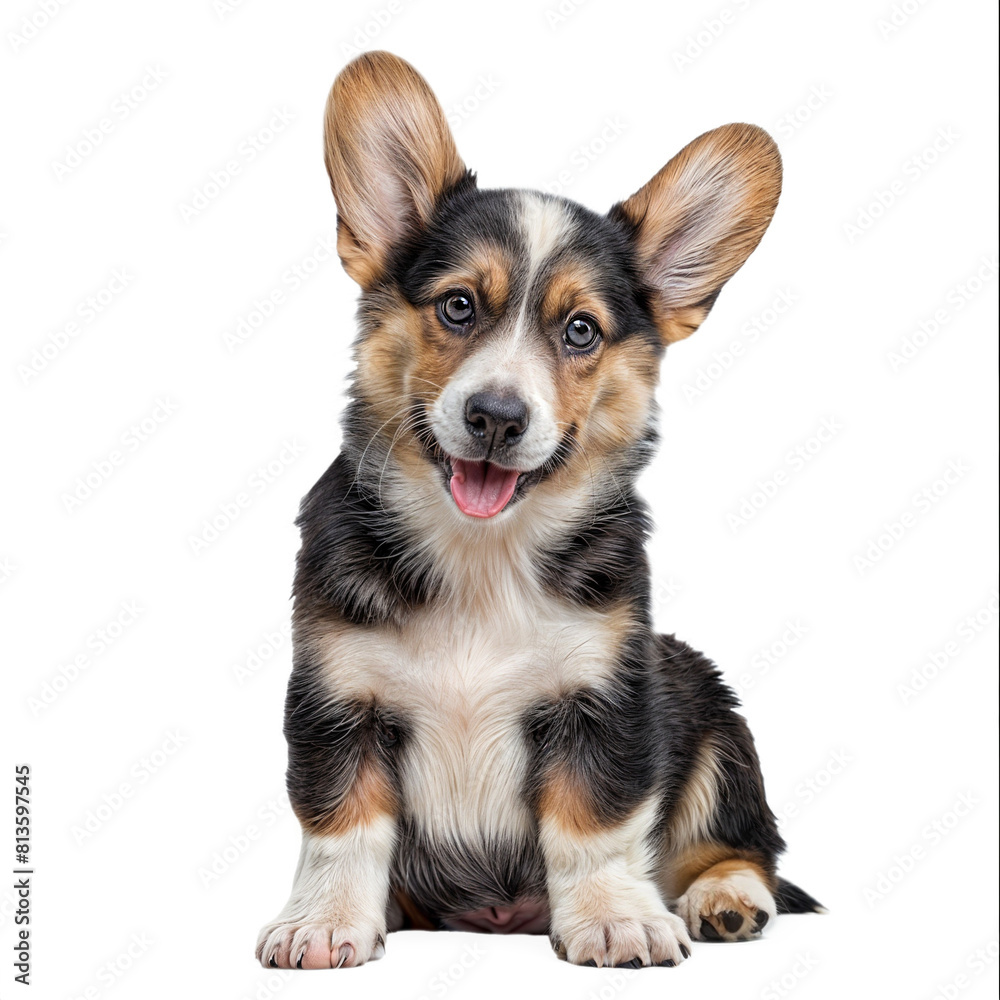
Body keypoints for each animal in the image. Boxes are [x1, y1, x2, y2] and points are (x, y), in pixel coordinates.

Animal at [256, 48, 820, 968]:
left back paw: (726, 901)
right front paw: (325, 923)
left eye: (581, 330)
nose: (496, 416)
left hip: (709, 713)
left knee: (740, 847)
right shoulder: (338, 698)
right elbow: (343, 826)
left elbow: (594, 823)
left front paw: (616, 920)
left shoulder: (606, 696)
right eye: (457, 306)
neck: (483, 552)